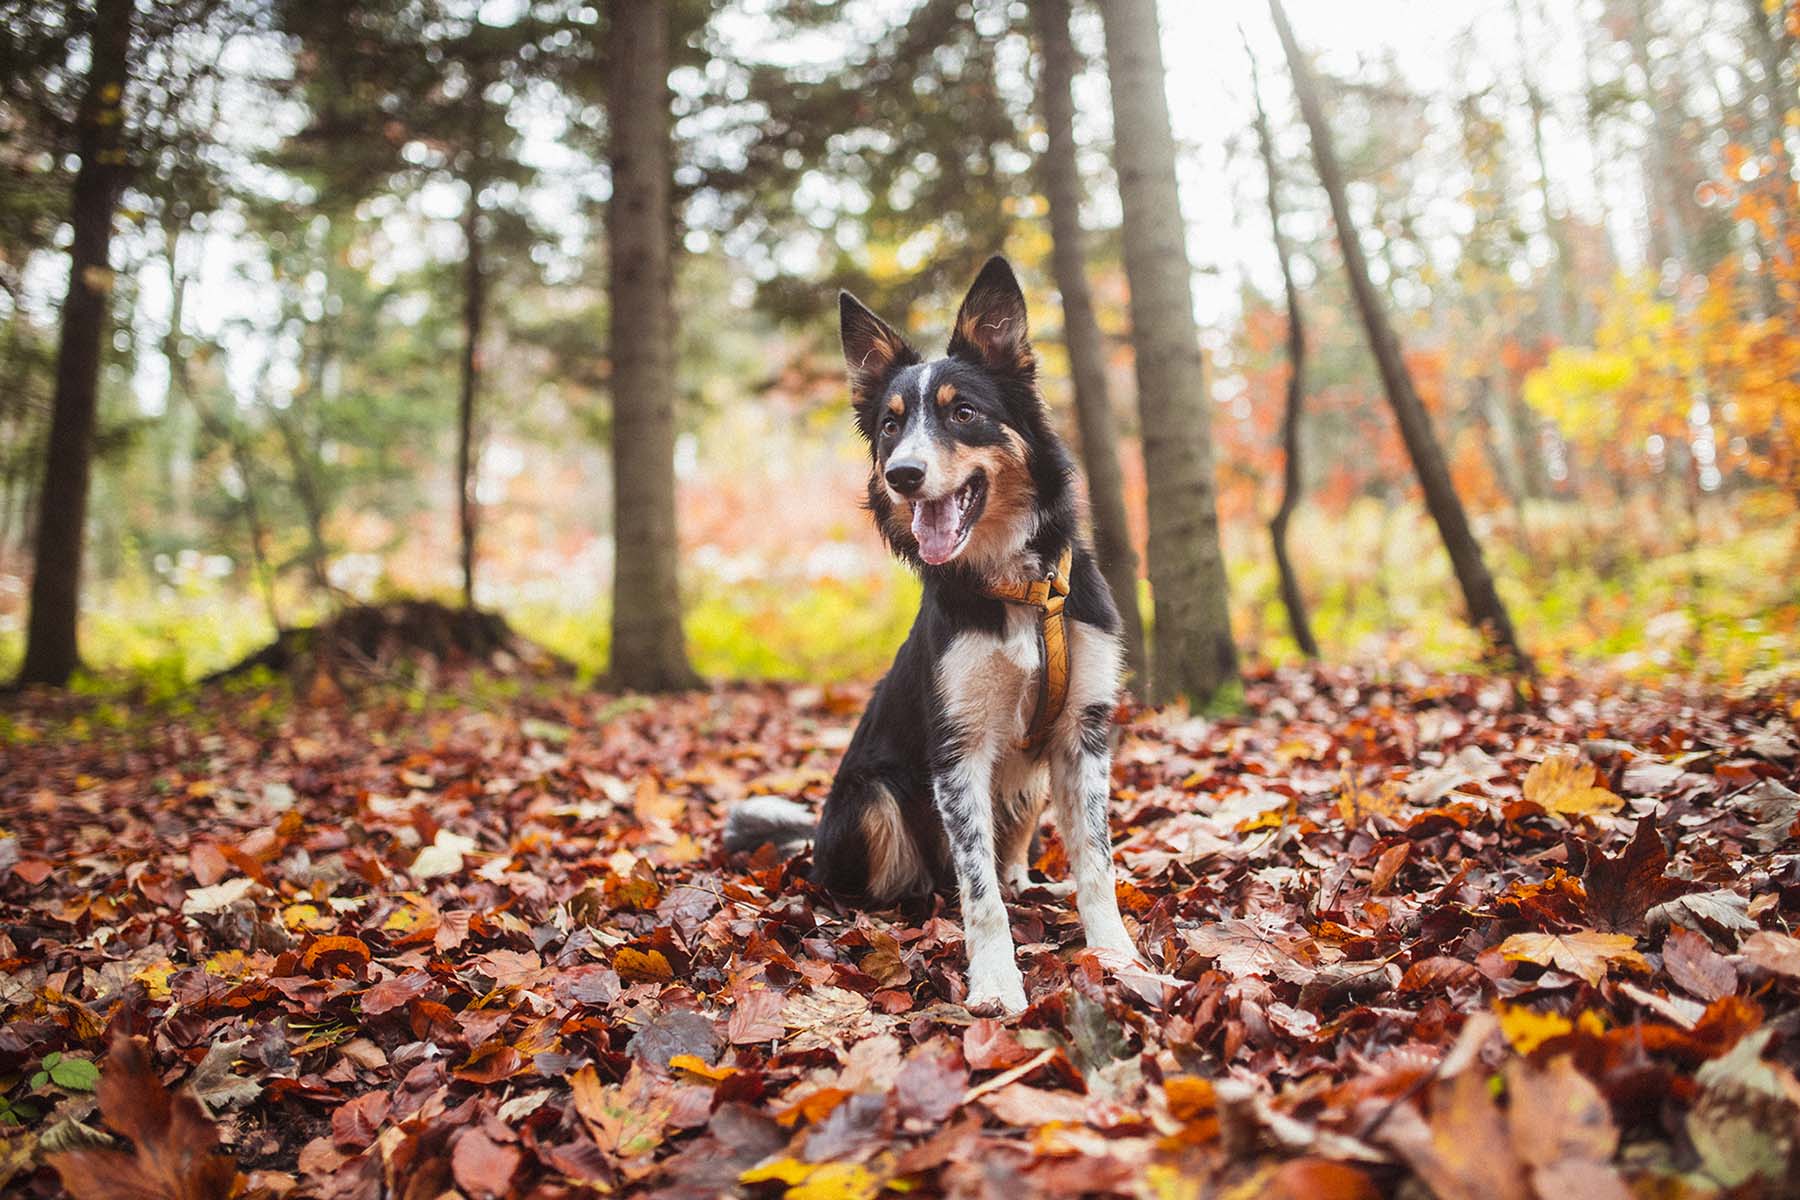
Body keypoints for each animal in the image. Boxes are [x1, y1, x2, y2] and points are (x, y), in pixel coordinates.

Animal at [720, 253, 1130, 1014]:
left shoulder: (1081, 733)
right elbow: (977, 890)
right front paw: (996, 980)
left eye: (962, 412)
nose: (902, 474)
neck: (1017, 587)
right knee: (870, 883)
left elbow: (1095, 859)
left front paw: (1116, 952)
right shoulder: (957, 750)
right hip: (872, 796)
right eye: (889, 426)